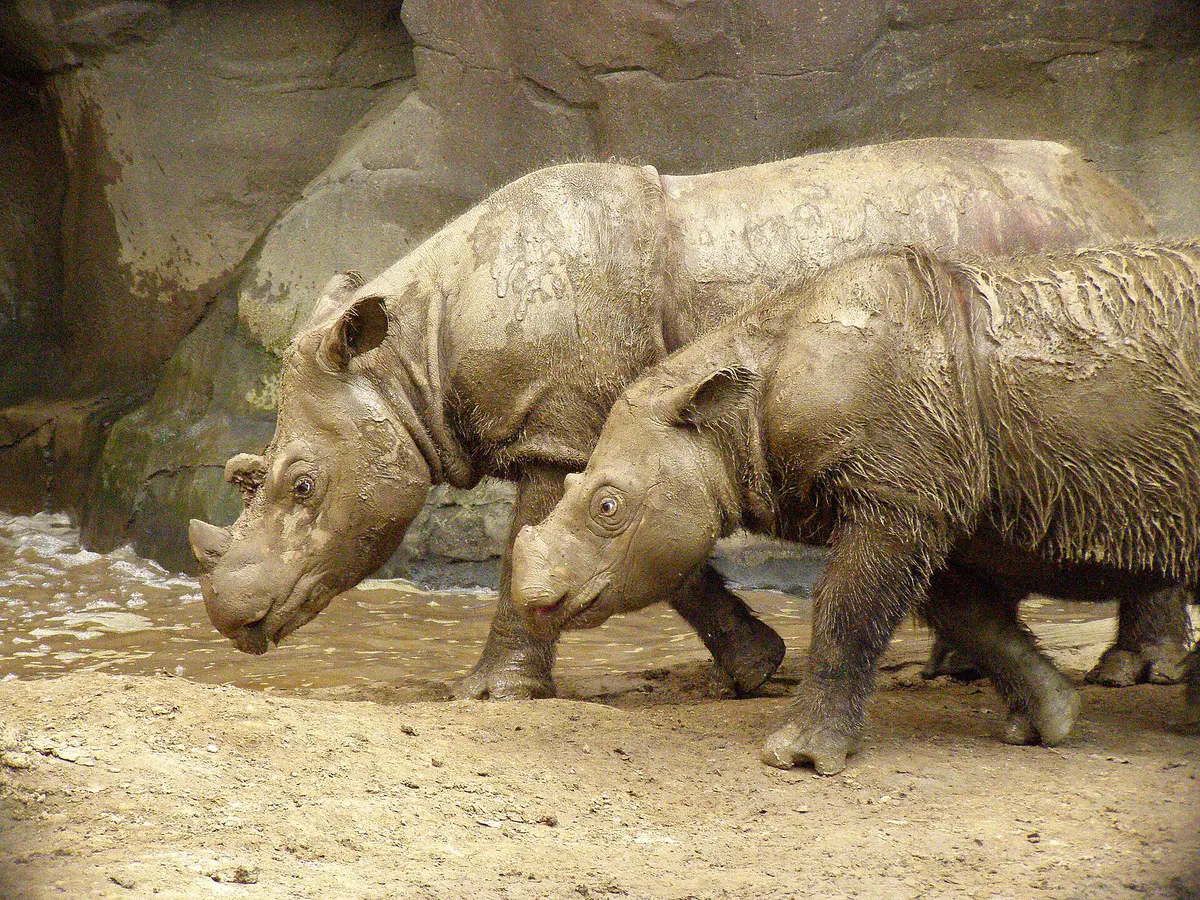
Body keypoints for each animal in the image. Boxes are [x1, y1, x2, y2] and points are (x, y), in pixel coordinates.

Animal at [188, 137, 1189, 698]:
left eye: (301, 485)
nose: (230, 619)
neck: (412, 361)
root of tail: (1128, 197)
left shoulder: (566, 422)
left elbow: (543, 543)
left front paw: (487, 693)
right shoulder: (632, 426)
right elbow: (660, 555)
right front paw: (753, 668)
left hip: (1092, 288)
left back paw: (1131, 674)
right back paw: (960, 668)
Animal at [511, 241, 1200, 774]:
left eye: (607, 506)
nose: (532, 596)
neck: (730, 415)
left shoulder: (896, 497)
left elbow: (847, 610)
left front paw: (797, 759)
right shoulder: (927, 497)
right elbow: (968, 614)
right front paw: (1048, 723)